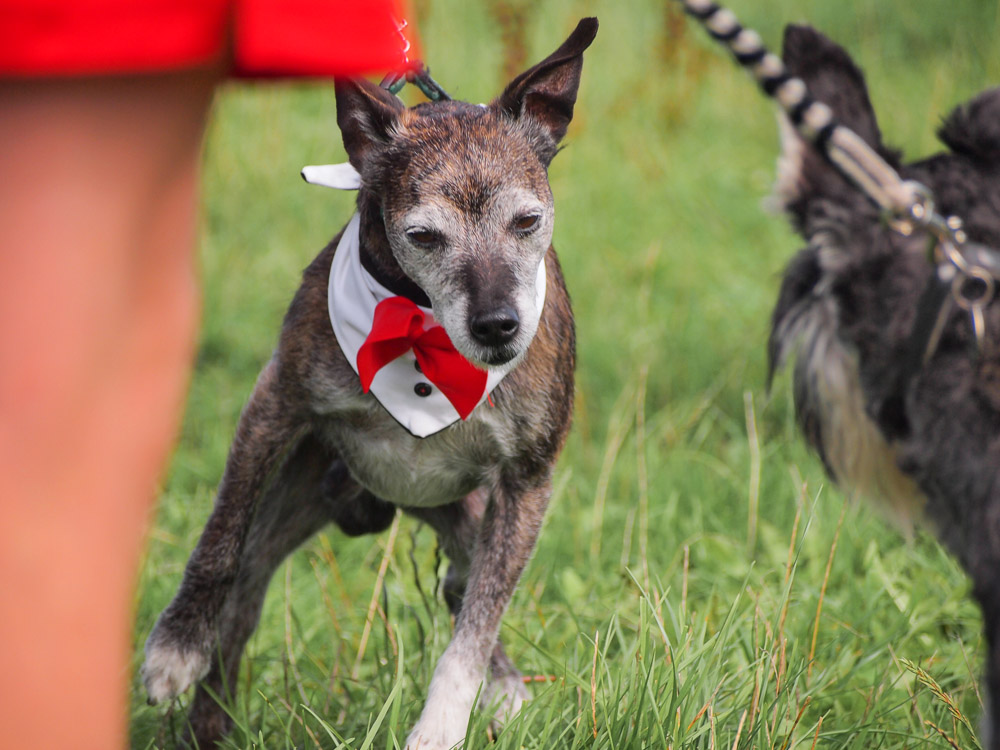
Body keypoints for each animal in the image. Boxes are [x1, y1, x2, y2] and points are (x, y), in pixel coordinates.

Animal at [141, 19, 592, 750]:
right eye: (424, 236)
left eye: (527, 222)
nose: (499, 325)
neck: (422, 331)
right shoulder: (275, 406)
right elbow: (220, 538)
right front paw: (175, 648)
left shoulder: (527, 481)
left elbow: (477, 625)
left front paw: (443, 723)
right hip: (294, 492)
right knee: (245, 593)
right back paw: (208, 721)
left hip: (470, 514)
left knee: (466, 588)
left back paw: (505, 689)